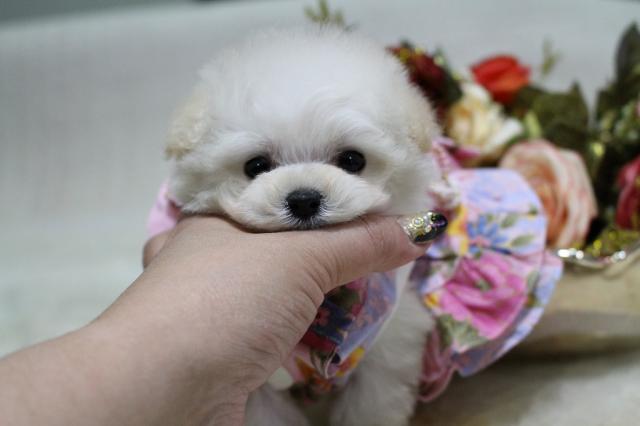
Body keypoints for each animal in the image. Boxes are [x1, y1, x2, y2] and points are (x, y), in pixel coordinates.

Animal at [164, 26, 443, 426]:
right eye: (255, 166)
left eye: (352, 160)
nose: (304, 200)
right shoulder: (253, 387)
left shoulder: (386, 340)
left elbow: (372, 401)